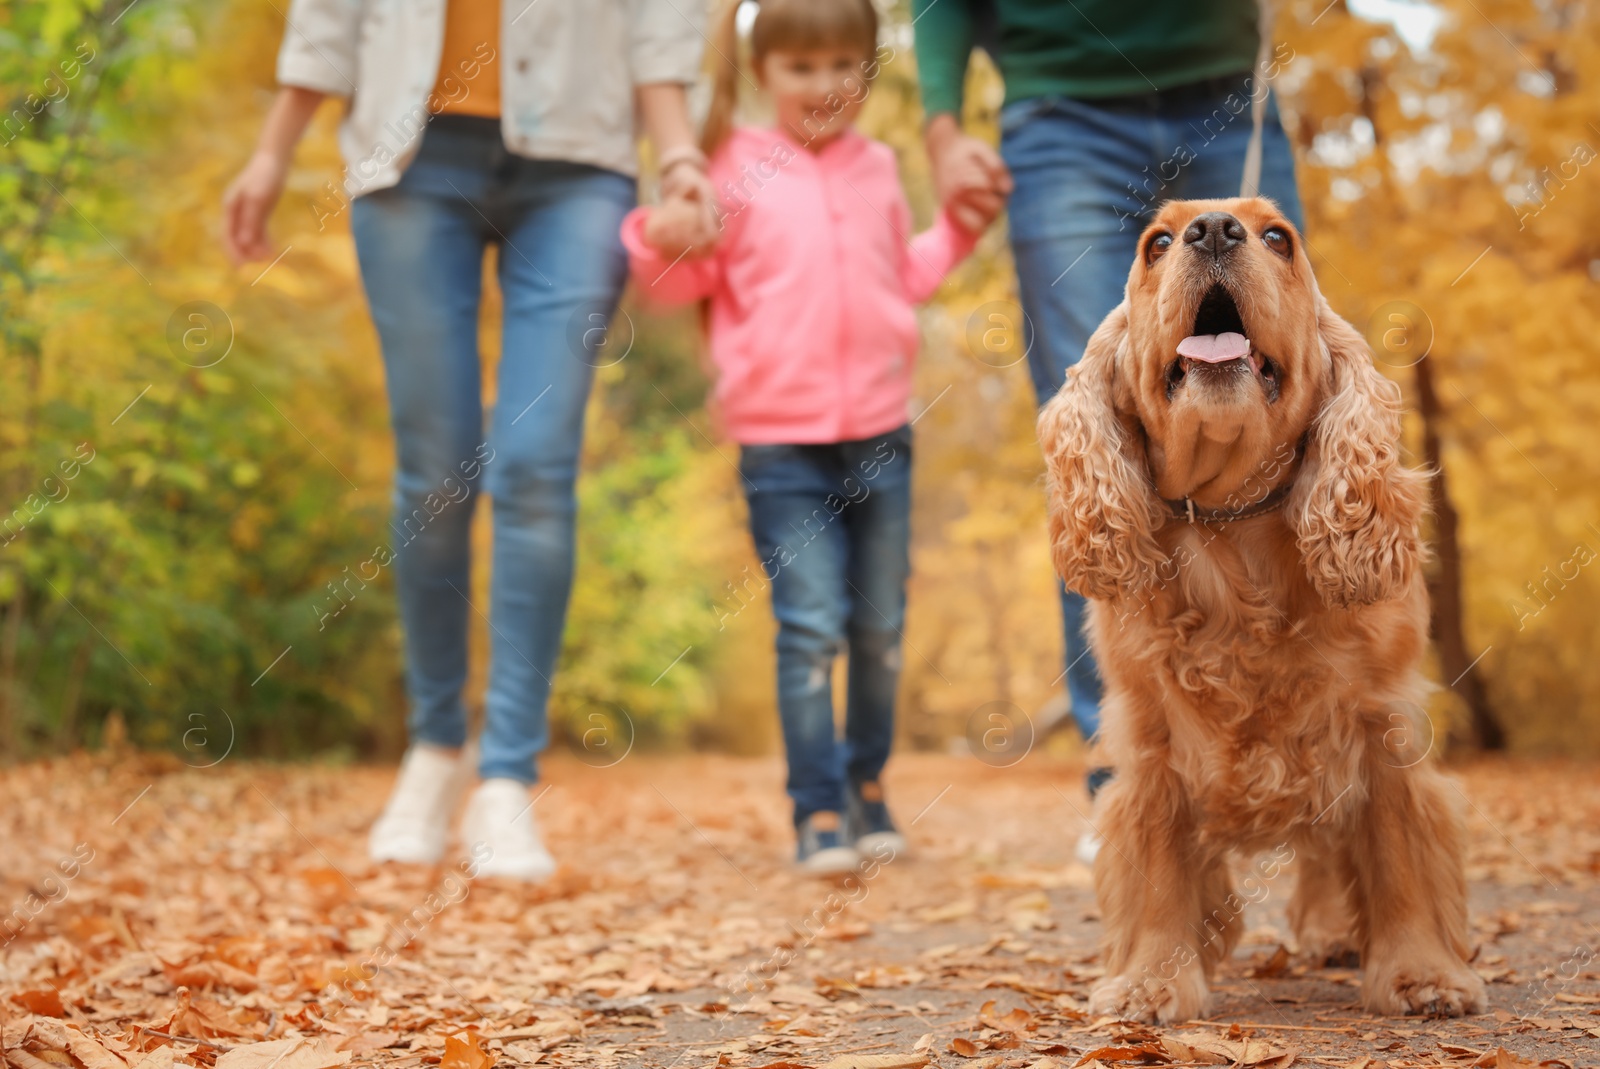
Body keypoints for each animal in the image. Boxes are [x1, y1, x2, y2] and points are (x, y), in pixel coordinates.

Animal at [1036, 196, 1484, 1024]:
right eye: (1155, 244)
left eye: (1279, 237)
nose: (1213, 228)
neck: (1231, 521)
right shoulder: (1149, 739)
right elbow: (1157, 868)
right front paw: (1151, 980)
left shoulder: (1385, 722)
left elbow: (1400, 848)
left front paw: (1421, 971)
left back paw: (1333, 933)